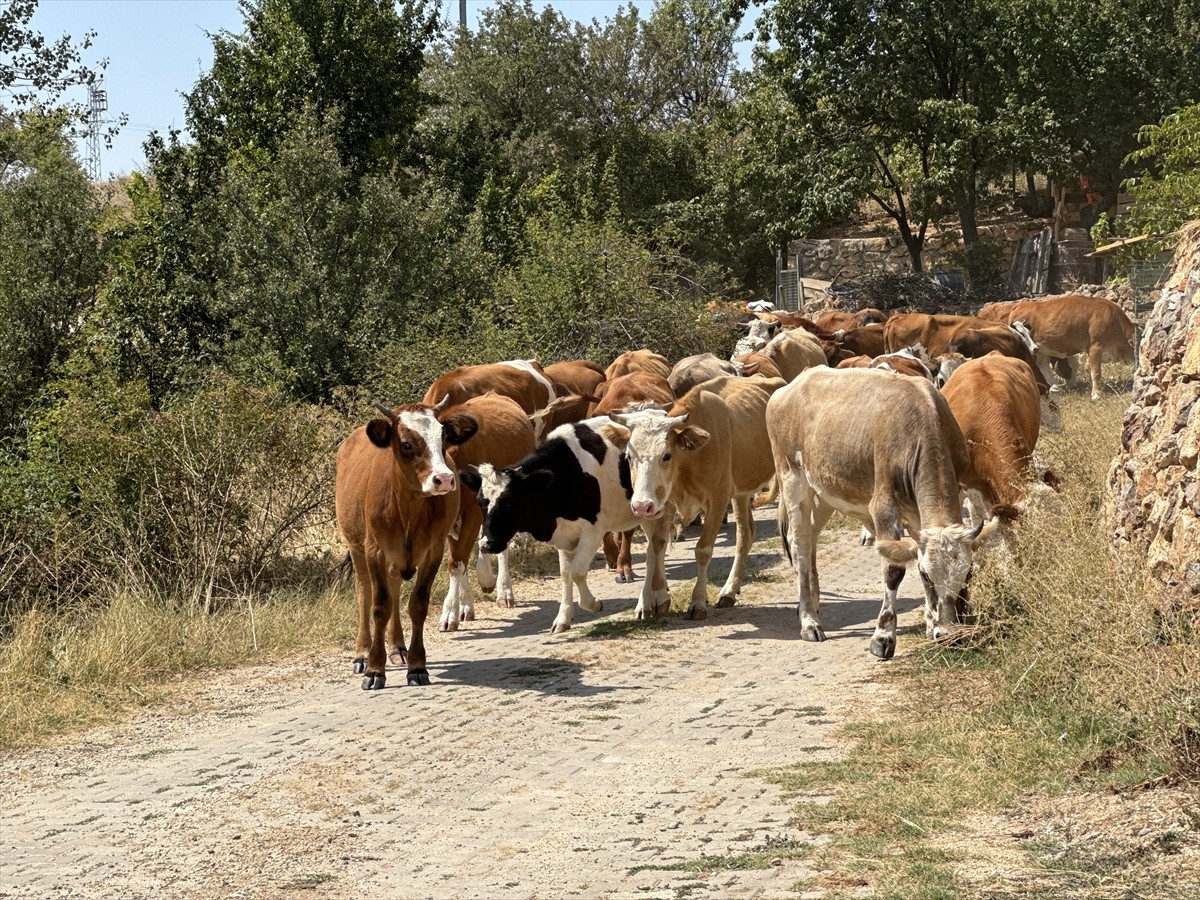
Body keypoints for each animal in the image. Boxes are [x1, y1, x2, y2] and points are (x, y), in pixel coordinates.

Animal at [338, 400, 477, 691]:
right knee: (364, 593)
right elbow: (379, 606)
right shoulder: (375, 550)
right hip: (356, 547)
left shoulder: (433, 551)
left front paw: (417, 665)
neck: (408, 507)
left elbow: (417, 605)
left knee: (393, 588)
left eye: (444, 438)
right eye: (405, 444)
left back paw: (397, 647)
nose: (444, 479)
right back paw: (362, 653)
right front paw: (375, 670)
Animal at [436, 393, 535, 633]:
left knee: (500, 545)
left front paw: (449, 613)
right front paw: (465, 605)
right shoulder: (450, 522)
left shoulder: (473, 513)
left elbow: (457, 561)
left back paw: (502, 590)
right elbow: (458, 558)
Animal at [456, 417, 643, 633]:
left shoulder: (593, 529)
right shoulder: (565, 534)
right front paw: (563, 618)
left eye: (510, 503)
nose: (487, 544)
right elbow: (565, 574)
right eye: (480, 503)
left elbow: (577, 571)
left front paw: (593, 604)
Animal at [974, 294, 1132, 400]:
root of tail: (1017, 305)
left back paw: (1055, 386)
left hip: (1040, 348)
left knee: (1042, 365)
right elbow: (1096, 373)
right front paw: (1096, 394)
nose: (1072, 384)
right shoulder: (1095, 348)